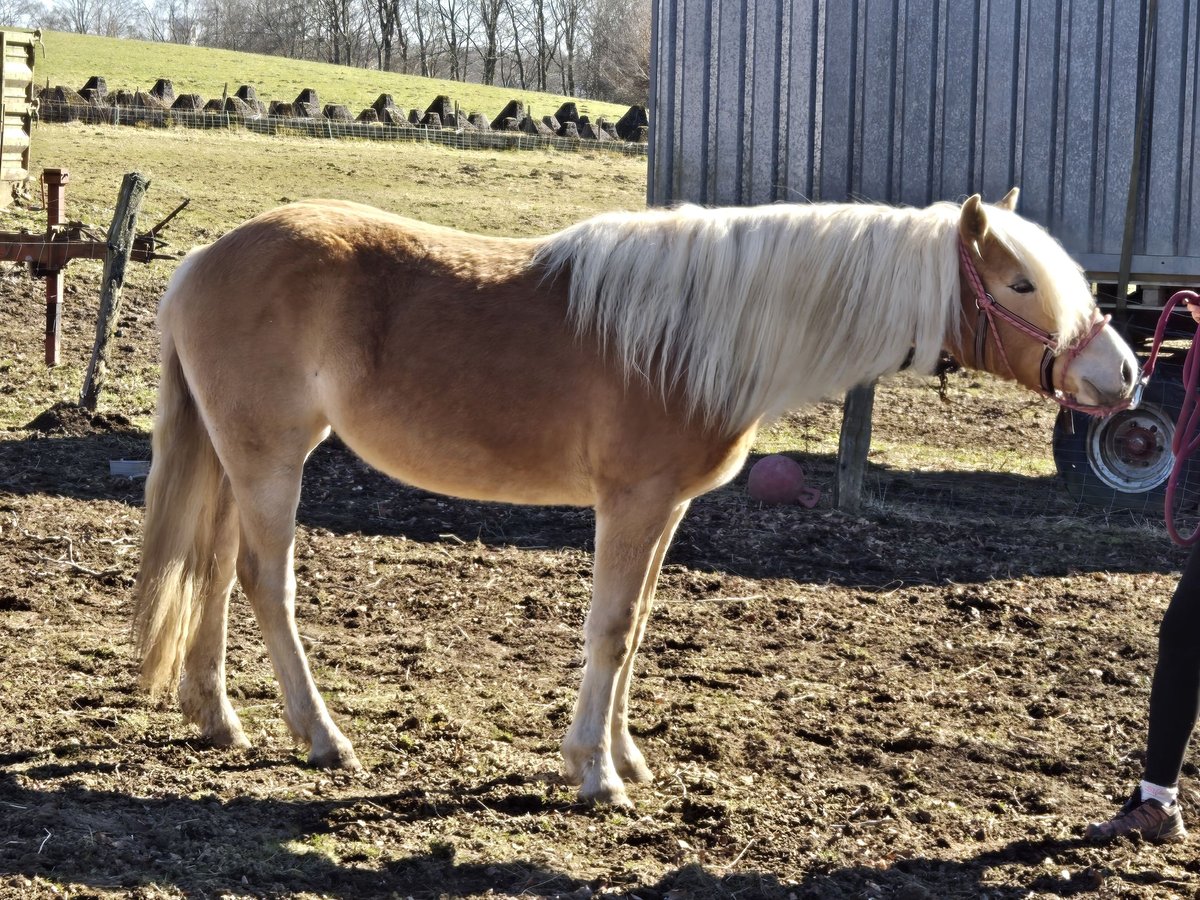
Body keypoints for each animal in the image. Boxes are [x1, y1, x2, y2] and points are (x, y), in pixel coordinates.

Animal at [136, 190, 1137, 811]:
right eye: (1019, 282)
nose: (1122, 375)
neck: (700, 333)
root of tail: (204, 260)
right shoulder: (634, 501)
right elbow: (612, 630)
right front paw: (595, 775)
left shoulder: (667, 510)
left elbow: (640, 625)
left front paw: (624, 757)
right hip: (271, 460)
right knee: (265, 582)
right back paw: (322, 736)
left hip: (238, 460)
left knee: (215, 573)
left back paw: (218, 718)